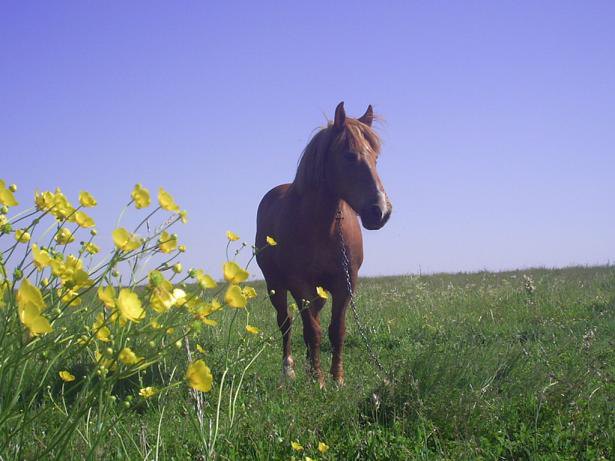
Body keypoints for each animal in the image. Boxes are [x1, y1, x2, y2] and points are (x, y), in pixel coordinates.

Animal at [256, 102, 392, 386]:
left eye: (375, 158)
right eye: (349, 156)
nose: (381, 211)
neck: (322, 227)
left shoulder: (345, 283)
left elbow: (336, 330)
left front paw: (337, 378)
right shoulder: (299, 284)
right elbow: (312, 331)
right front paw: (318, 381)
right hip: (275, 284)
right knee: (286, 322)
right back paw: (289, 370)